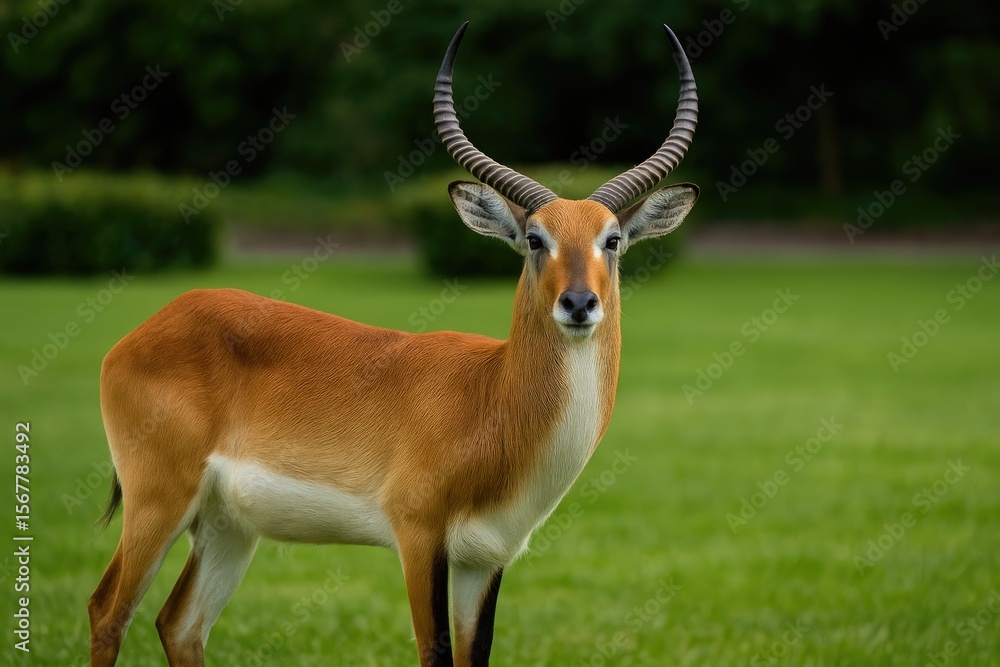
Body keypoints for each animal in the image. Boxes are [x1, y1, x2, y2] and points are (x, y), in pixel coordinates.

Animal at [89, 21, 699, 667]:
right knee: (108, 611)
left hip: (229, 525)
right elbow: (435, 652)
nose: (579, 303)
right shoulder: (418, 536)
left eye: (612, 239)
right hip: (158, 500)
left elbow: (475, 655)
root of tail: (153, 324)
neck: (492, 397)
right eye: (535, 238)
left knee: (179, 624)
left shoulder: (486, 558)